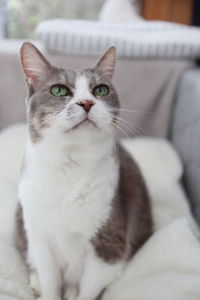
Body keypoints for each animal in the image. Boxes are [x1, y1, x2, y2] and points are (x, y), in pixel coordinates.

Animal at [16, 42, 152, 300]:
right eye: (59, 90)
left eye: (100, 90)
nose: (87, 103)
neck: (71, 163)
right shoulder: (39, 234)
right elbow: (49, 277)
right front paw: (45, 287)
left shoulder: (110, 239)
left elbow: (90, 287)